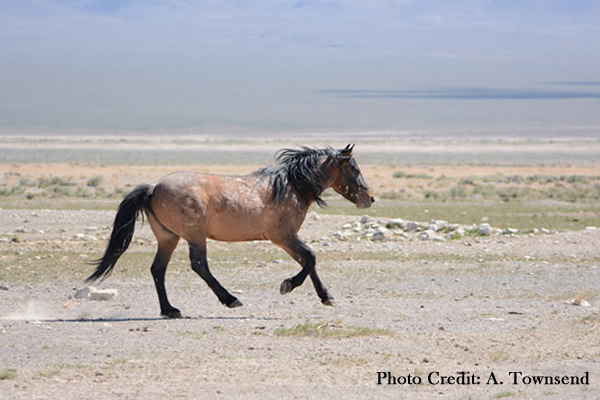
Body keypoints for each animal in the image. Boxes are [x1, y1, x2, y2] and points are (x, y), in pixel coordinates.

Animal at [86, 144, 372, 318]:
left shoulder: (286, 238)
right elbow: (311, 258)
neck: (290, 187)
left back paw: (170, 310)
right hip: (194, 236)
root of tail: (153, 187)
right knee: (199, 265)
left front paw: (325, 296)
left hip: (169, 237)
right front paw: (289, 286)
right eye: (354, 168)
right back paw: (230, 299)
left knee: (158, 270)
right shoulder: (283, 236)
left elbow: (308, 261)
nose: (369, 198)